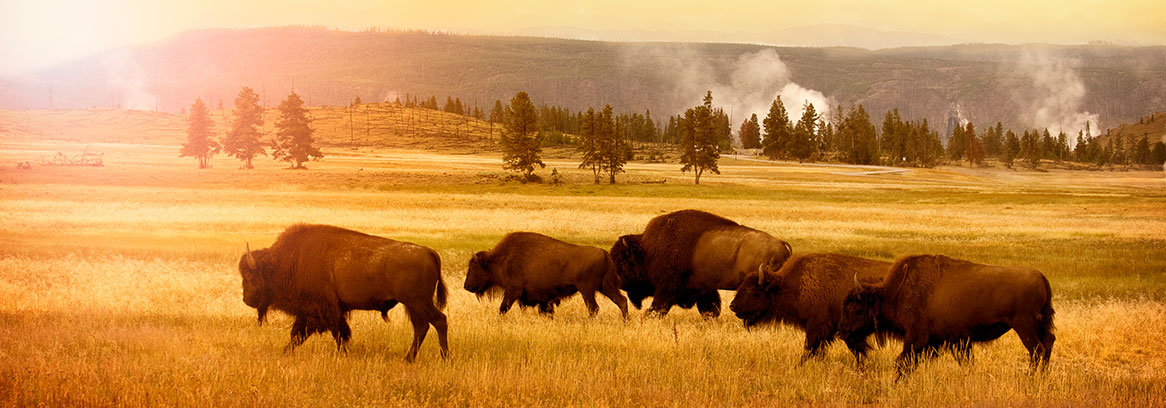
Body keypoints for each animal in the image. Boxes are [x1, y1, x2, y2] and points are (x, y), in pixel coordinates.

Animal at [239, 224, 449, 362]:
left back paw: (445, 357)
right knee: (421, 327)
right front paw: (285, 353)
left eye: (249, 274)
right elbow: (297, 335)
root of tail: (429, 252)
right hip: (412, 305)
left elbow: (338, 333)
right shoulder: (310, 312)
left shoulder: (326, 309)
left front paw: (343, 355)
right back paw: (409, 359)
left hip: (419, 302)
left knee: (439, 321)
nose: (246, 299)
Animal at [465, 232, 629, 318]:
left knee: (594, 308)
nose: (466, 286)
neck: (504, 258)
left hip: (587, 290)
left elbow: (503, 308)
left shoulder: (513, 291)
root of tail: (604, 253)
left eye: (474, 267)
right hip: (604, 287)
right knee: (621, 301)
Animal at [610, 210, 793, 318]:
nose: (618, 283)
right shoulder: (705, 289)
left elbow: (657, 308)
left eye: (623, 262)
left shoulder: (665, 290)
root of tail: (780, 244)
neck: (648, 250)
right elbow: (710, 309)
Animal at [838, 254, 1055, 378]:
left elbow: (902, 362)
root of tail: (1041, 276)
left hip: (1024, 326)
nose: (842, 331)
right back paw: (1042, 376)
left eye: (855, 308)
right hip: (1039, 325)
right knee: (1048, 343)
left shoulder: (916, 338)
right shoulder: (957, 341)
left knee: (1037, 349)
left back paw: (1030, 377)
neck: (895, 293)